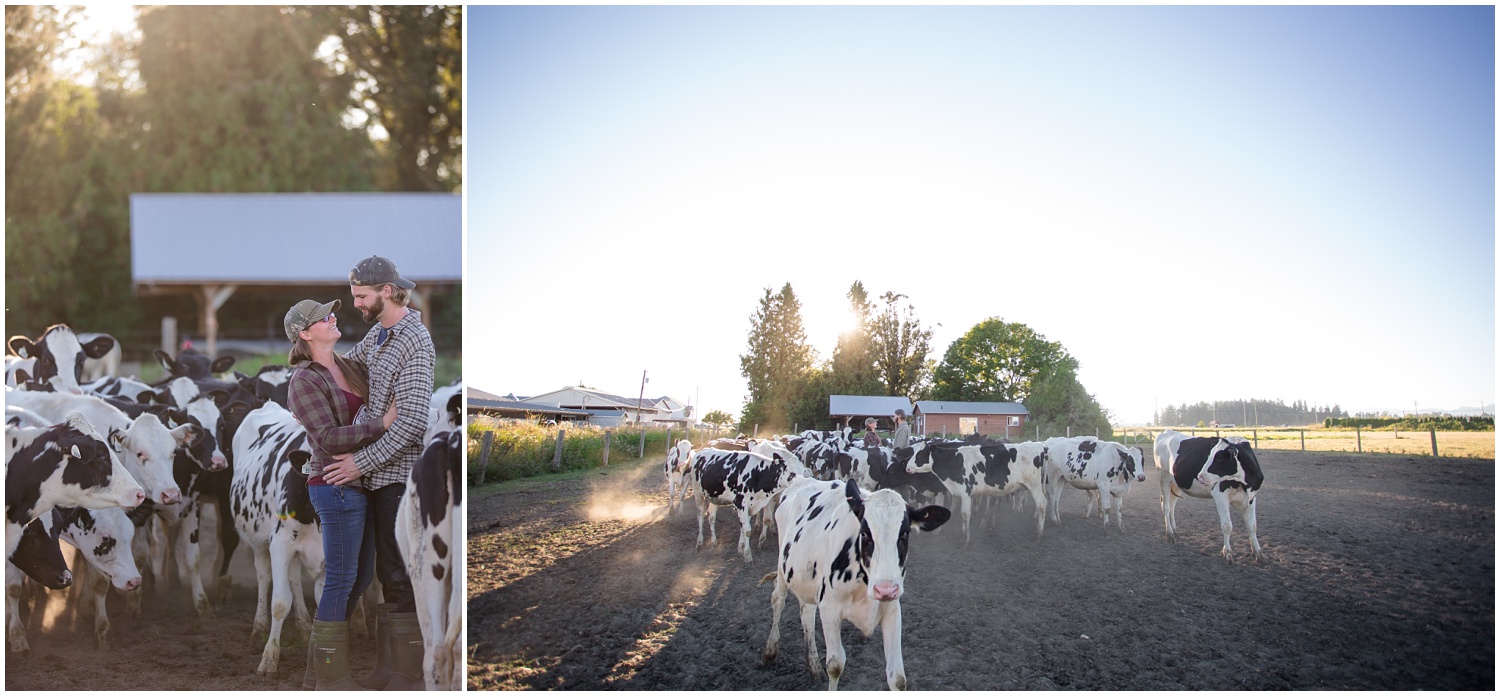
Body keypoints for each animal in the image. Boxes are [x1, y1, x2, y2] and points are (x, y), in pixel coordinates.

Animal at [229, 399, 324, 678]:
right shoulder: (280, 543)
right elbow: (280, 602)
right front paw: (269, 659)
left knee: (293, 577)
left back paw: (303, 627)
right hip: (259, 540)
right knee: (263, 575)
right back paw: (258, 629)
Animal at [762, 480, 948, 690]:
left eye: (905, 533)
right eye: (865, 533)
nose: (885, 589)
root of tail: (801, 480)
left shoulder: (892, 610)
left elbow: (898, 677)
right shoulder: (829, 609)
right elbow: (835, 665)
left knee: (807, 613)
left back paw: (813, 666)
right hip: (782, 566)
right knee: (778, 599)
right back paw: (770, 650)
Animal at [894, 441, 1050, 543]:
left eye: (920, 455)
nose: (907, 468)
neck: (953, 461)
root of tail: (1040, 446)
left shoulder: (966, 492)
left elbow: (965, 515)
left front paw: (966, 539)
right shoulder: (957, 493)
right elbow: (955, 511)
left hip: (1035, 485)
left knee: (1042, 504)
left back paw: (1039, 533)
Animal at [1158, 426, 1266, 564]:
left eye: (1219, 457)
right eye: (1210, 455)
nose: (1200, 476)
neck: (1244, 482)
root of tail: (1167, 431)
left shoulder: (1251, 497)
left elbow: (1252, 526)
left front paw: (1258, 553)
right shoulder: (1220, 495)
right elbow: (1227, 526)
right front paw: (1228, 553)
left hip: (1176, 483)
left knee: (1172, 505)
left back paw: (1175, 530)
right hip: (1164, 478)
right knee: (1166, 506)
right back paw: (1170, 534)